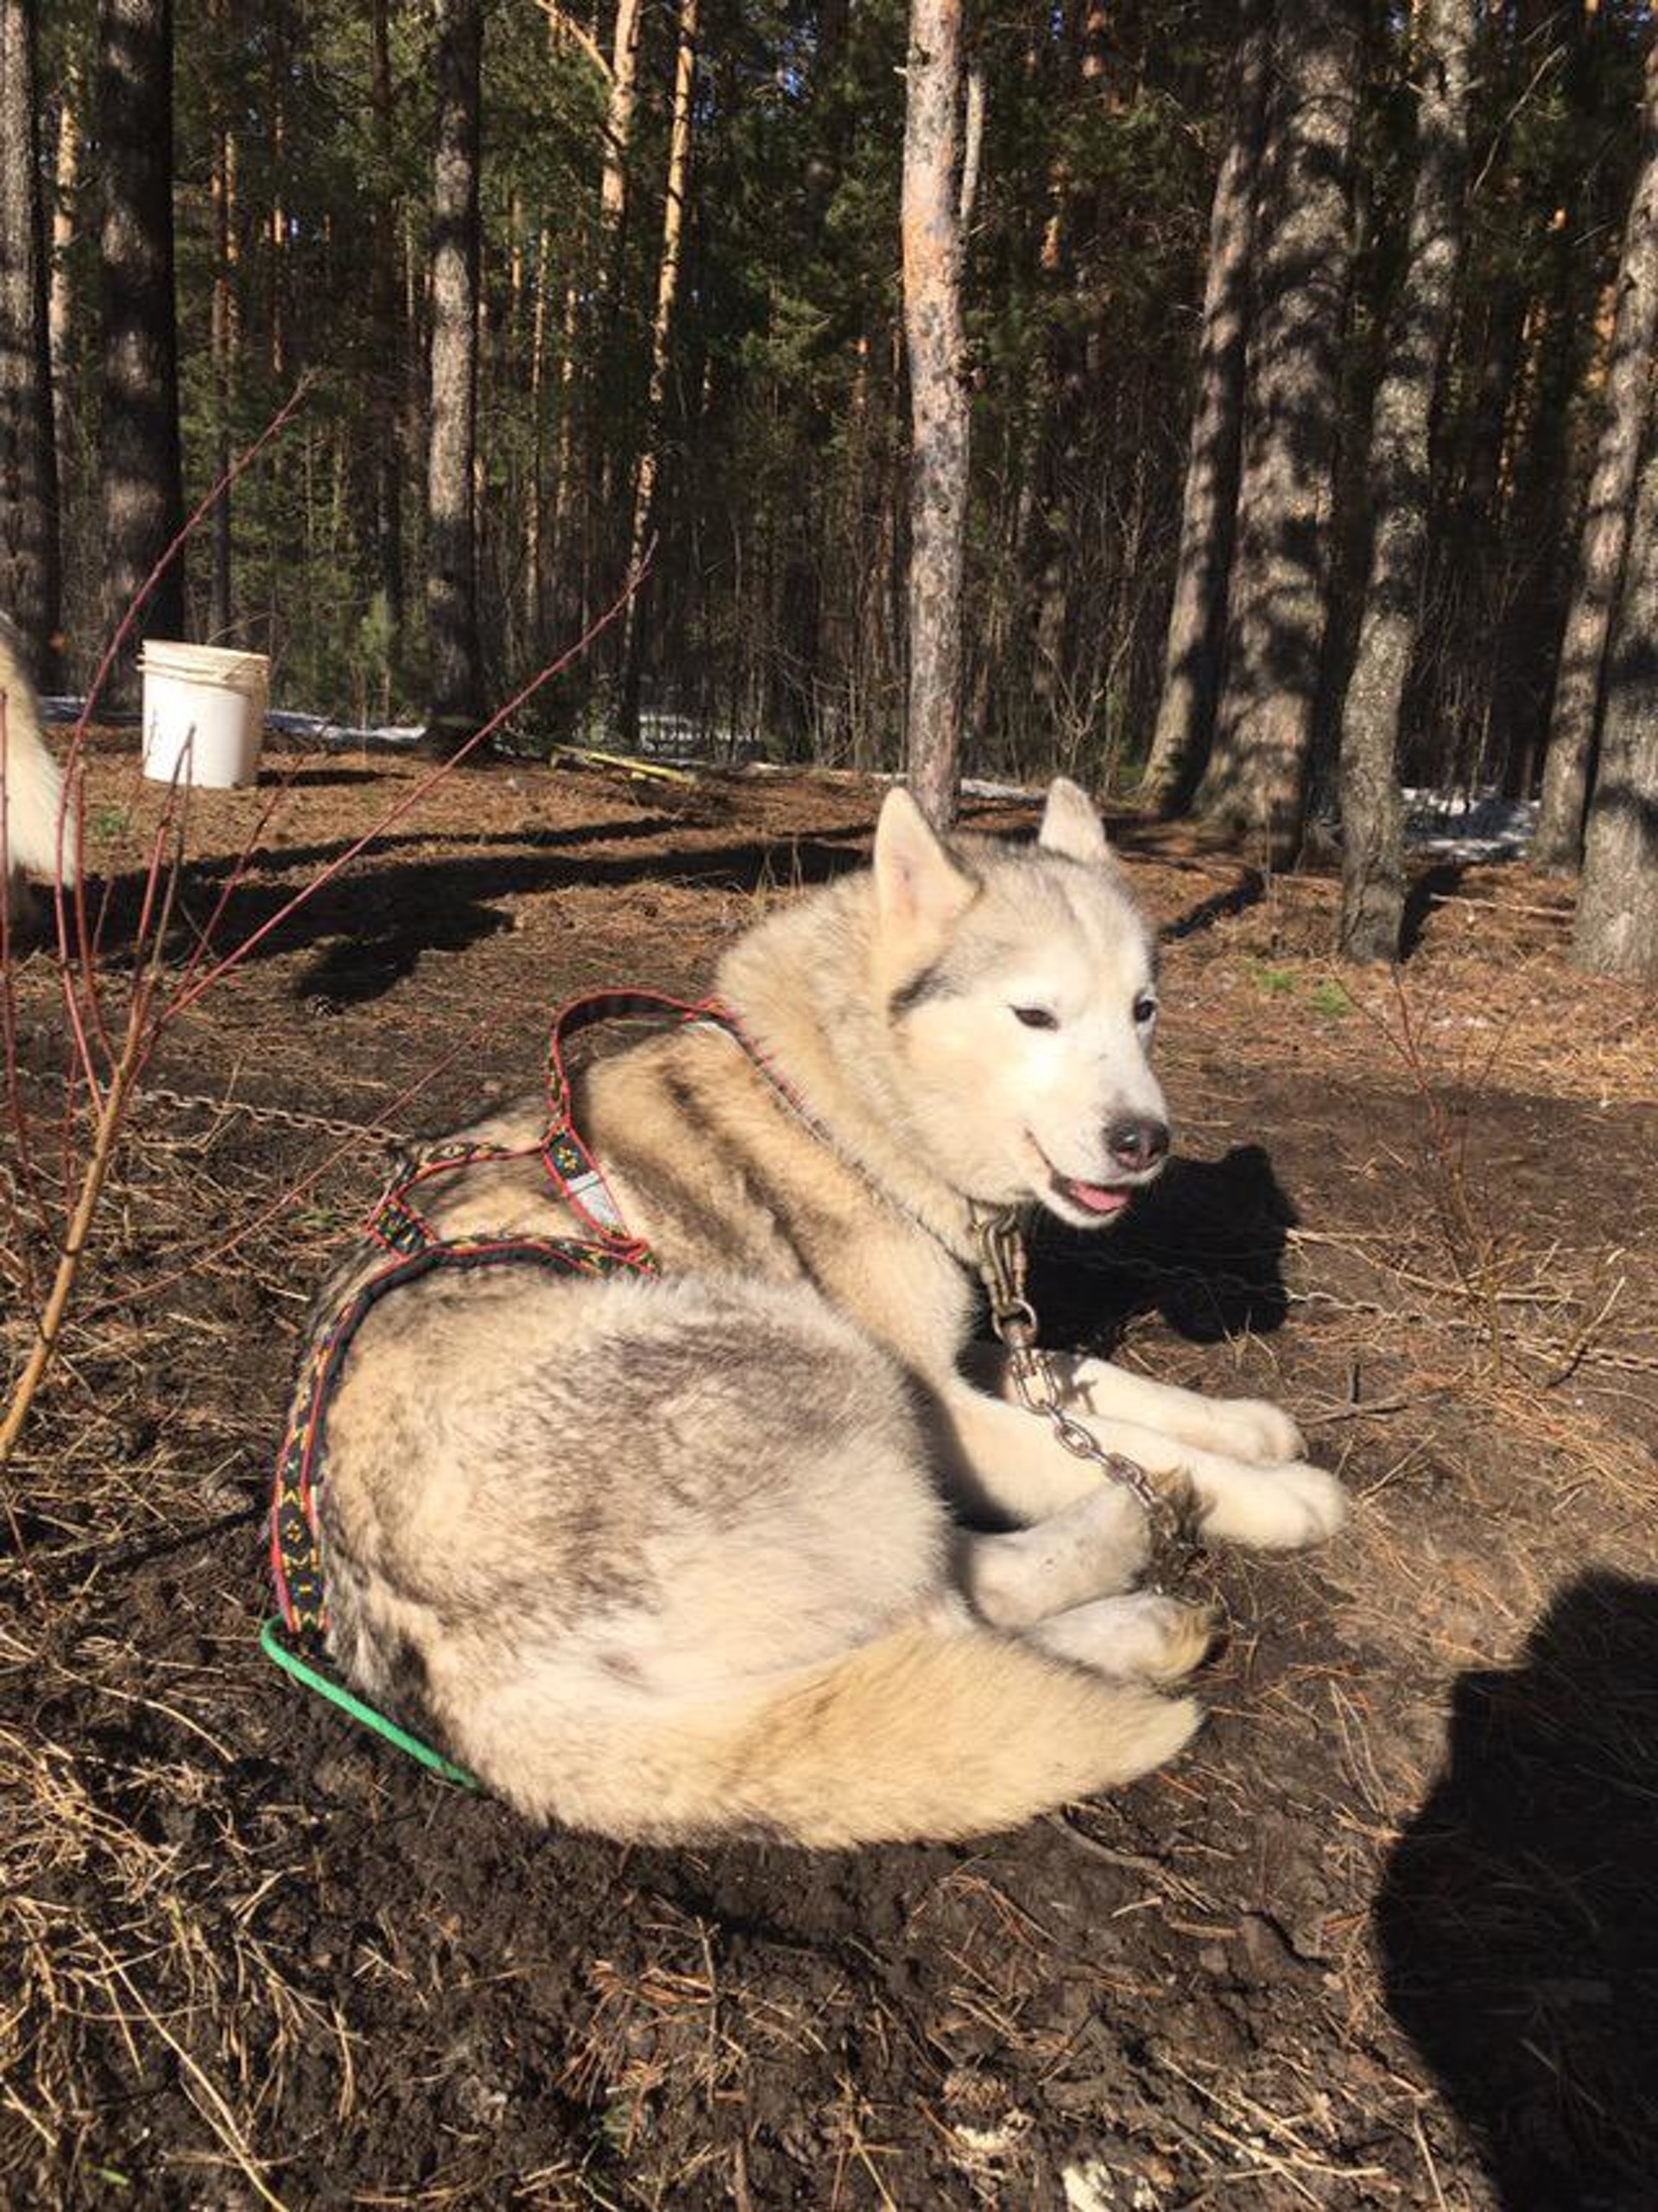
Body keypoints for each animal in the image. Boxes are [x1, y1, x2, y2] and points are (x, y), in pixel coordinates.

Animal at [307, 787, 1345, 1840]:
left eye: (1143, 1011)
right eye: (1035, 1015)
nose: (1145, 1141)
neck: (842, 1109)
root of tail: (467, 1681)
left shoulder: (972, 1350)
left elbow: (1101, 1386)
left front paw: (1242, 1427)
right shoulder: (939, 1403)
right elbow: (1107, 1448)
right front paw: (1270, 1493)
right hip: (823, 1357)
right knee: (958, 1611)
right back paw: (1130, 1568)